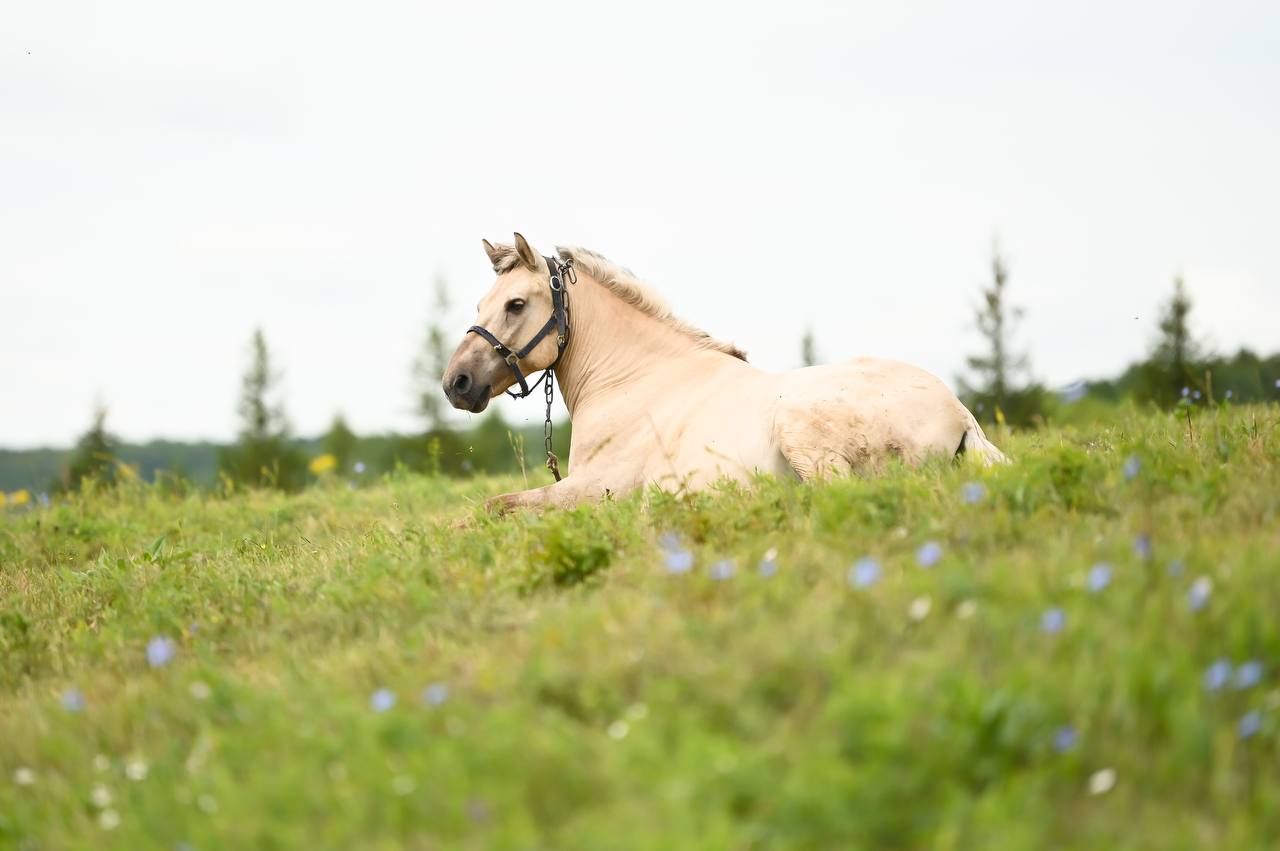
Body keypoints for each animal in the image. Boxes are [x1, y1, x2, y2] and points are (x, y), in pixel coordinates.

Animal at [445, 230, 1003, 511]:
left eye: (516, 304)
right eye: (481, 304)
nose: (456, 384)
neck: (630, 381)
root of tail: (960, 416)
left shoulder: (592, 490)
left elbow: (492, 506)